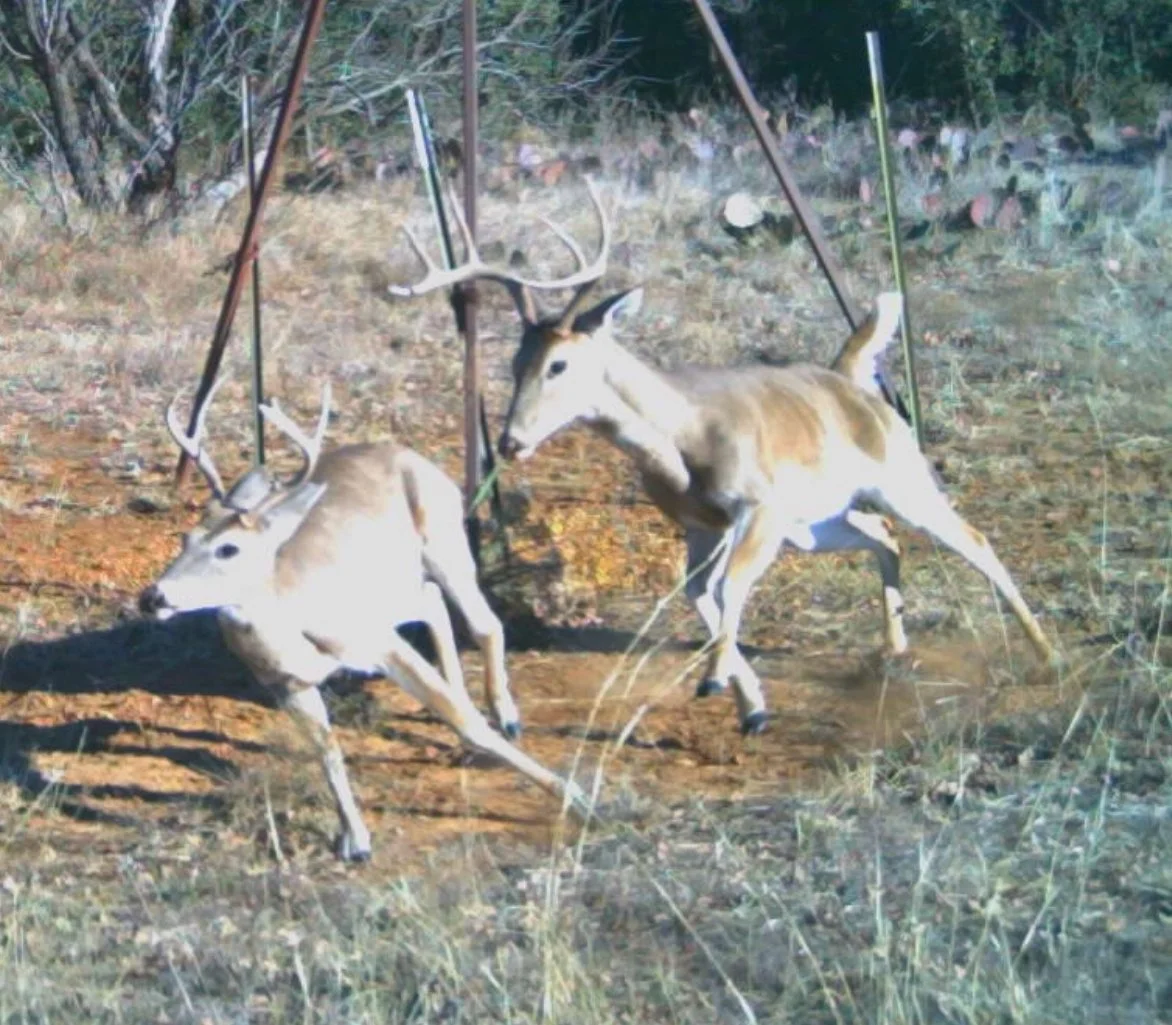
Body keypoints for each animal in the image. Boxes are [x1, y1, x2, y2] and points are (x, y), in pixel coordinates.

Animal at [138, 377, 586, 861]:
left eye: (228, 549)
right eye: (186, 538)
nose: (153, 596)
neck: (295, 623)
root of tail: (411, 454)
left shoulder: (380, 641)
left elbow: (468, 725)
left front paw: (574, 795)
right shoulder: (286, 683)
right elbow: (328, 750)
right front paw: (355, 840)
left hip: (444, 543)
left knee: (484, 622)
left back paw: (506, 714)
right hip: (396, 582)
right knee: (432, 601)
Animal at [390, 180, 1058, 736]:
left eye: (559, 364)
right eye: (514, 363)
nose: (510, 441)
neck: (682, 436)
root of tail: (851, 381)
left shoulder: (759, 506)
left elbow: (729, 587)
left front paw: (718, 682)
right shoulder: (701, 523)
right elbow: (699, 595)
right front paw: (749, 704)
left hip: (899, 478)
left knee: (972, 539)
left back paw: (1045, 653)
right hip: (818, 523)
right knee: (883, 536)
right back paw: (894, 649)